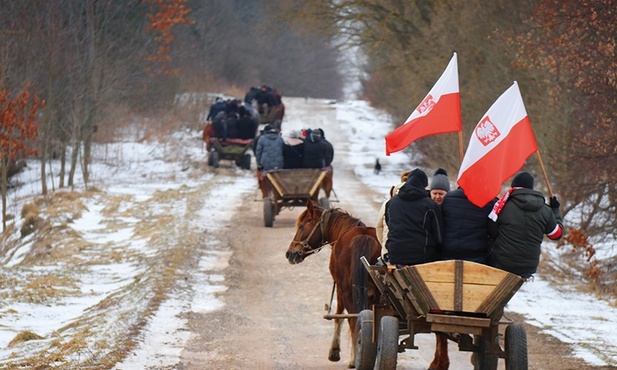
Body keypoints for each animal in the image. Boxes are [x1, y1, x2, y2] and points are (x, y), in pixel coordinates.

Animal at [286, 199, 380, 368]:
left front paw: (334, 351)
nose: (289, 253)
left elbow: (339, 316)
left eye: (302, 226)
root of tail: (364, 237)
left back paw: (353, 359)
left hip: (348, 291)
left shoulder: (340, 289)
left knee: (353, 319)